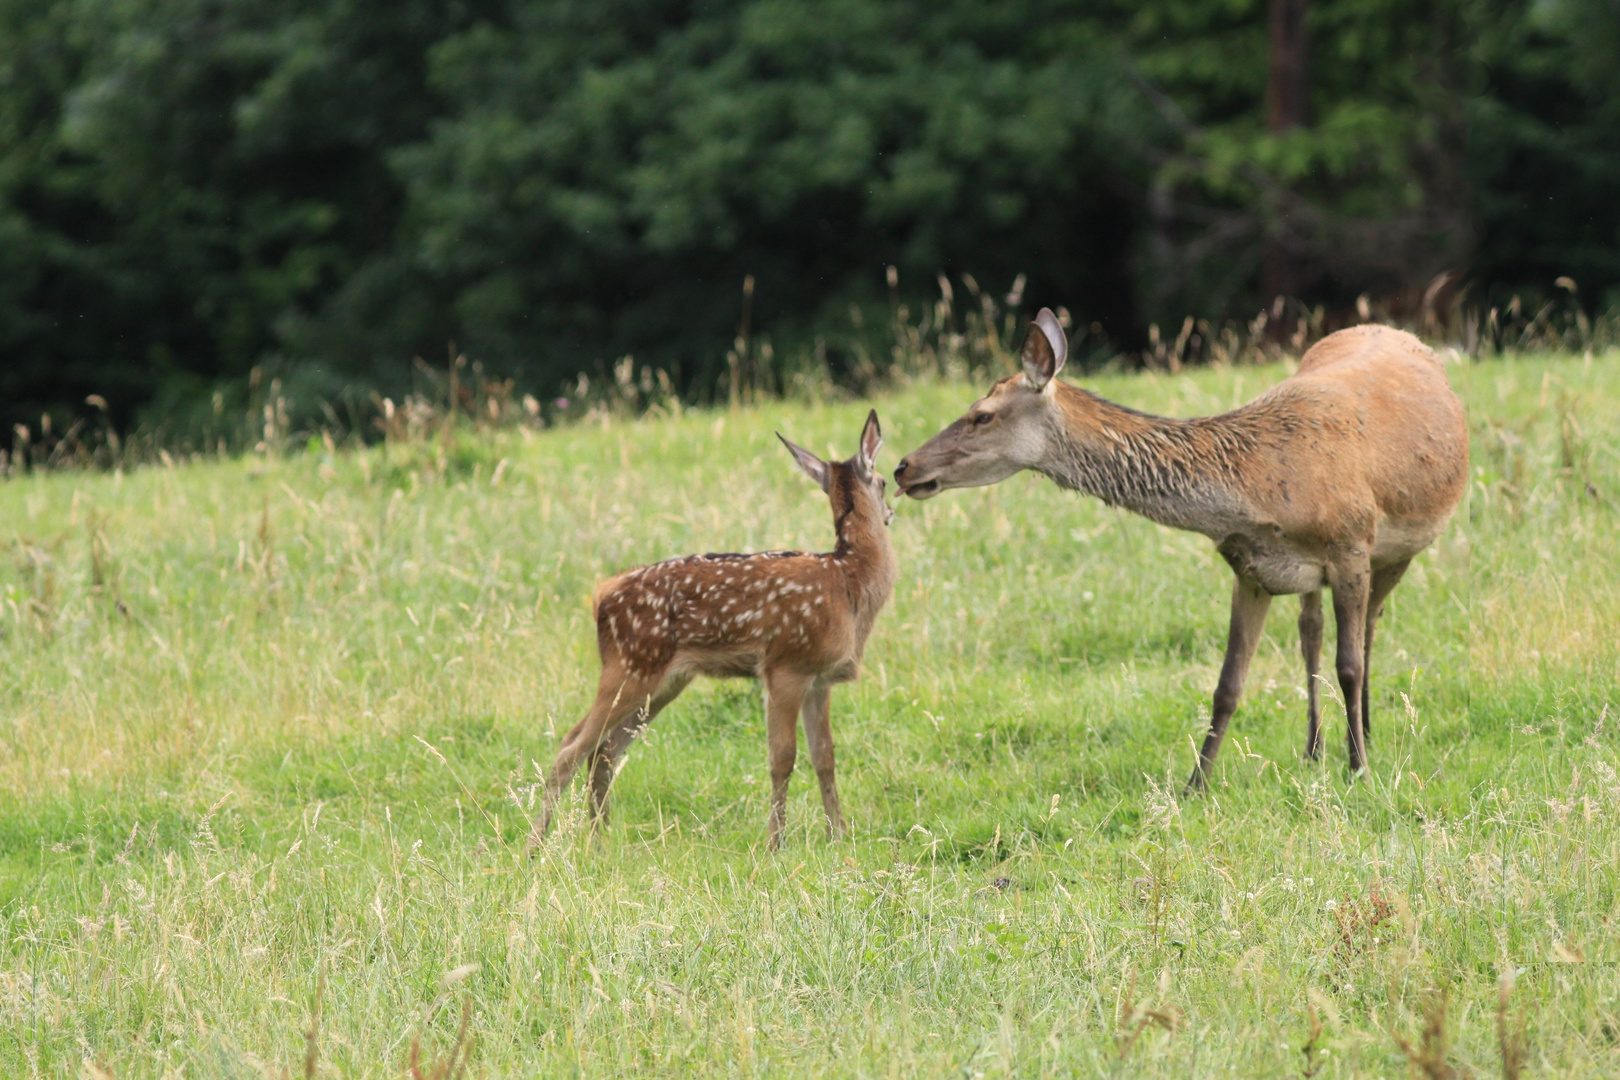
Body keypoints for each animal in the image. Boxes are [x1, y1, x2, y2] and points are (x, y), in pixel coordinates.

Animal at [531, 409, 894, 848]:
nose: (892, 512)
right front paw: (775, 844)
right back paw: (535, 848)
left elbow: (825, 756)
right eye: (884, 481)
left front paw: (838, 836)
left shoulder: (820, 678)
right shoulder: (785, 665)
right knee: (571, 747)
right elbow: (782, 758)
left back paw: (599, 844)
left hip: (664, 680)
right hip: (629, 665)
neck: (849, 580)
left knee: (604, 751)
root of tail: (602, 595)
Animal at [894, 307, 1477, 790]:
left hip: (1401, 544)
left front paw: (1358, 770)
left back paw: (1366, 736)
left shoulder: (1351, 543)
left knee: (1369, 628)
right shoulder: (1251, 567)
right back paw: (1313, 748)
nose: (904, 467)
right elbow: (1227, 684)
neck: (1262, 492)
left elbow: (1349, 665)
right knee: (1310, 631)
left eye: (982, 414)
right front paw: (1197, 782)